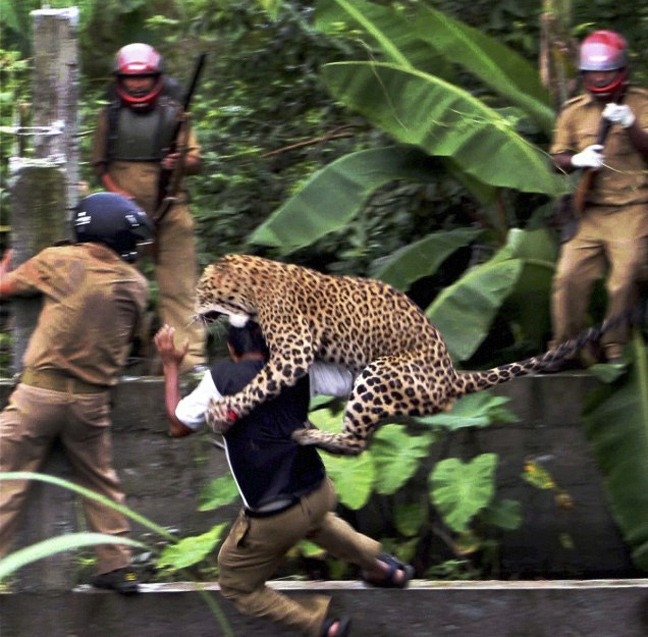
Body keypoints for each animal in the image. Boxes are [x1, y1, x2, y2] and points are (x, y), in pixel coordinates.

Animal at [196, 251, 624, 454]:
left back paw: (309, 435)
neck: (251, 287)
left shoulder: (294, 351)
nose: (193, 312)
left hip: (379, 372)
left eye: (201, 290)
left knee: (356, 442)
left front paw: (221, 410)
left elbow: (259, 384)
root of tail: (451, 374)